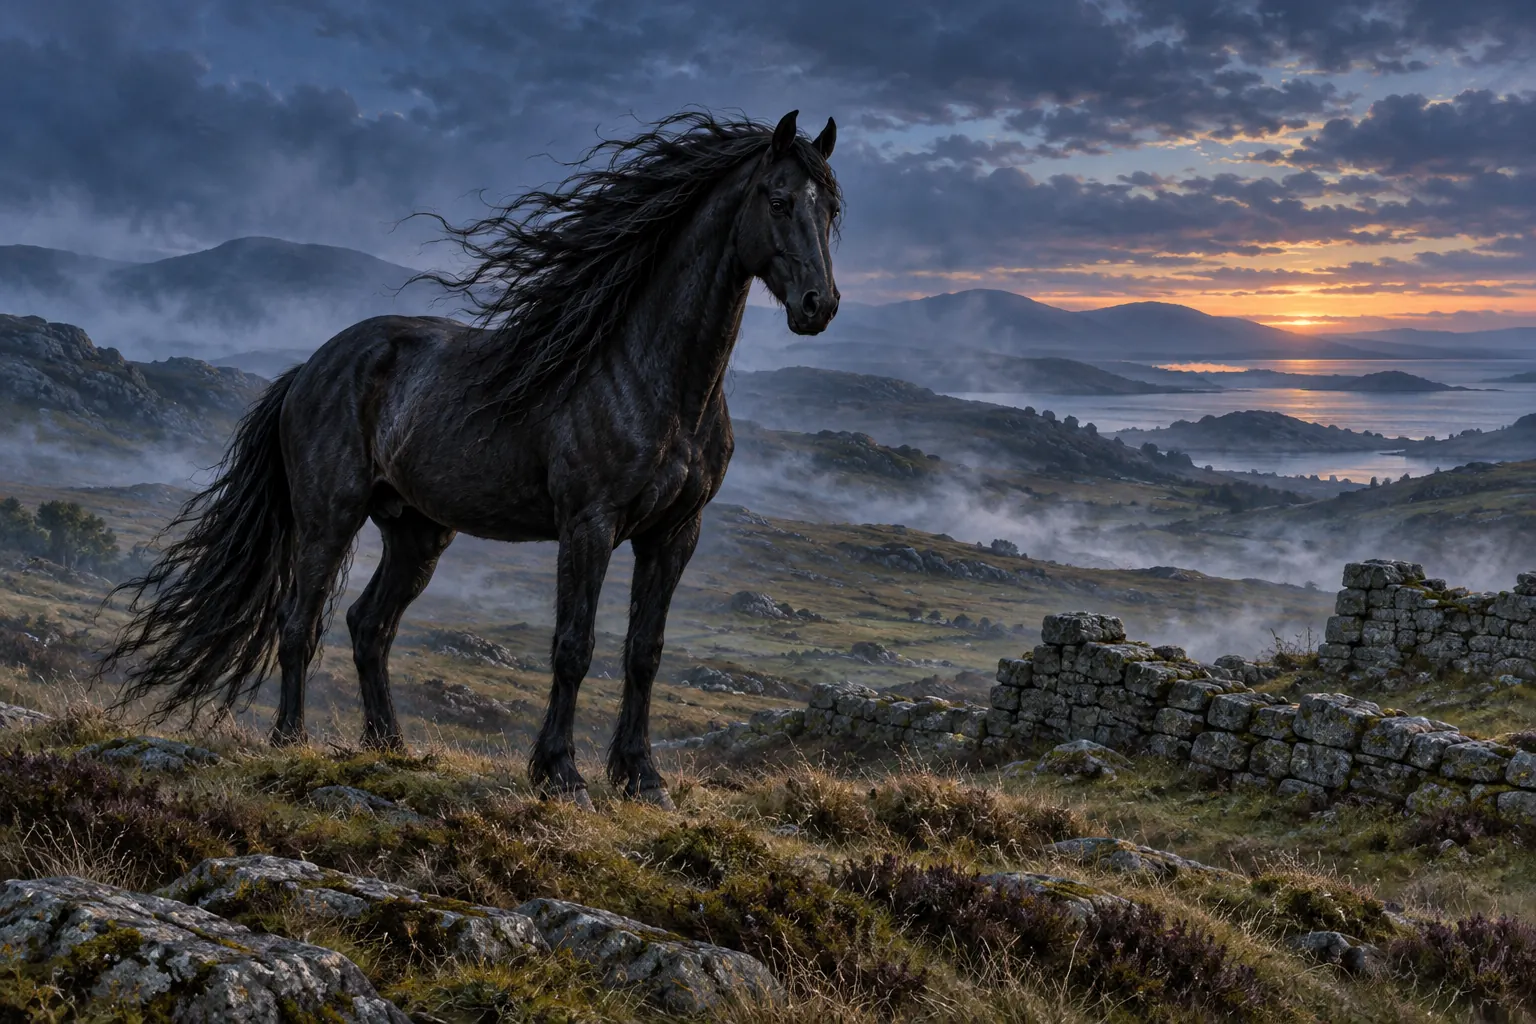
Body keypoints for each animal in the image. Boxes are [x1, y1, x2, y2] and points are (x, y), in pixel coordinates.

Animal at [100, 109, 841, 809]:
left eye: (831, 209)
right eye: (778, 199)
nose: (820, 305)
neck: (658, 380)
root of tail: (310, 368)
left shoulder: (673, 534)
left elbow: (644, 654)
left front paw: (642, 778)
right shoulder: (589, 525)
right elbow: (574, 648)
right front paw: (561, 774)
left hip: (416, 531)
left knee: (370, 627)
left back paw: (390, 747)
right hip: (327, 517)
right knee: (298, 623)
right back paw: (290, 740)